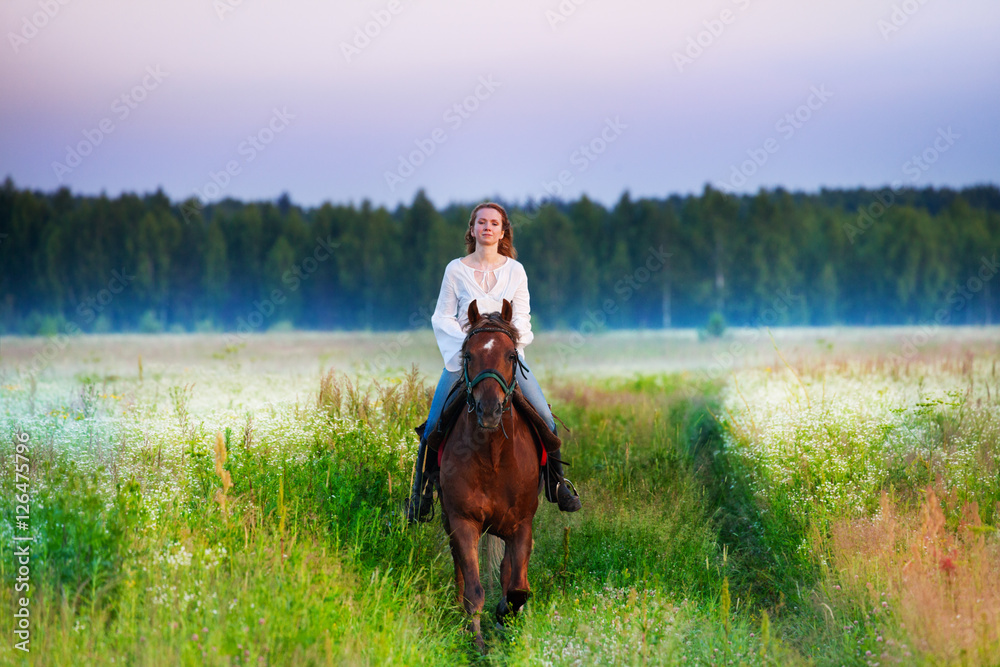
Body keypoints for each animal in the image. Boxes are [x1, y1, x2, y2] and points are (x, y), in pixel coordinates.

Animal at [438, 298, 544, 652]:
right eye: (468, 355)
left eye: (511, 355)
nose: (489, 410)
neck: (492, 456)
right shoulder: (463, 521)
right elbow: (473, 590)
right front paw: (478, 643)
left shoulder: (521, 525)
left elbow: (518, 588)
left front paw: (505, 618)